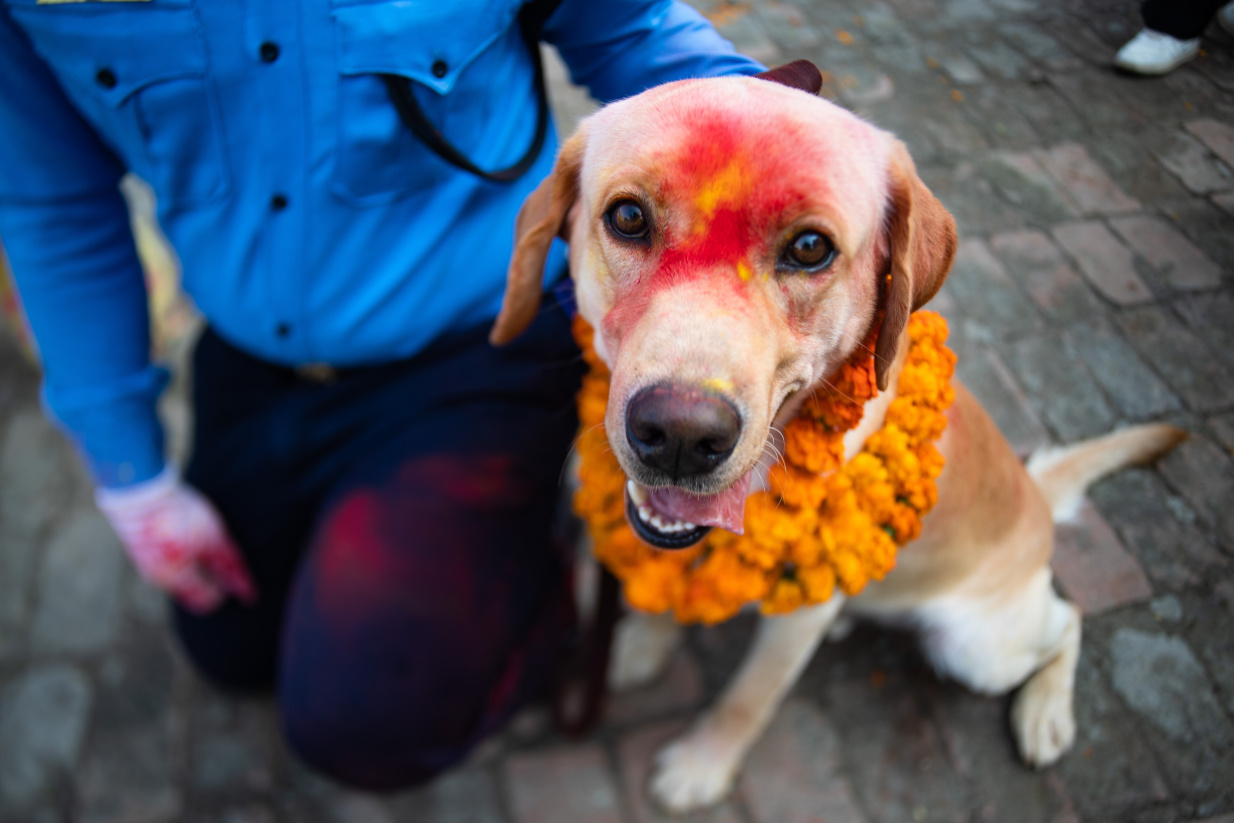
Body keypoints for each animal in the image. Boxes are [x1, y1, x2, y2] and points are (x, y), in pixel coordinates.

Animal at [486, 61, 1179, 814]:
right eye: (628, 217)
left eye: (811, 248)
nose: (678, 435)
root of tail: (1034, 495)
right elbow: (664, 591)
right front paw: (641, 643)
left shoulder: (794, 624)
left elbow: (749, 700)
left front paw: (702, 765)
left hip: (976, 647)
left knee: (1068, 618)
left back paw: (1046, 711)